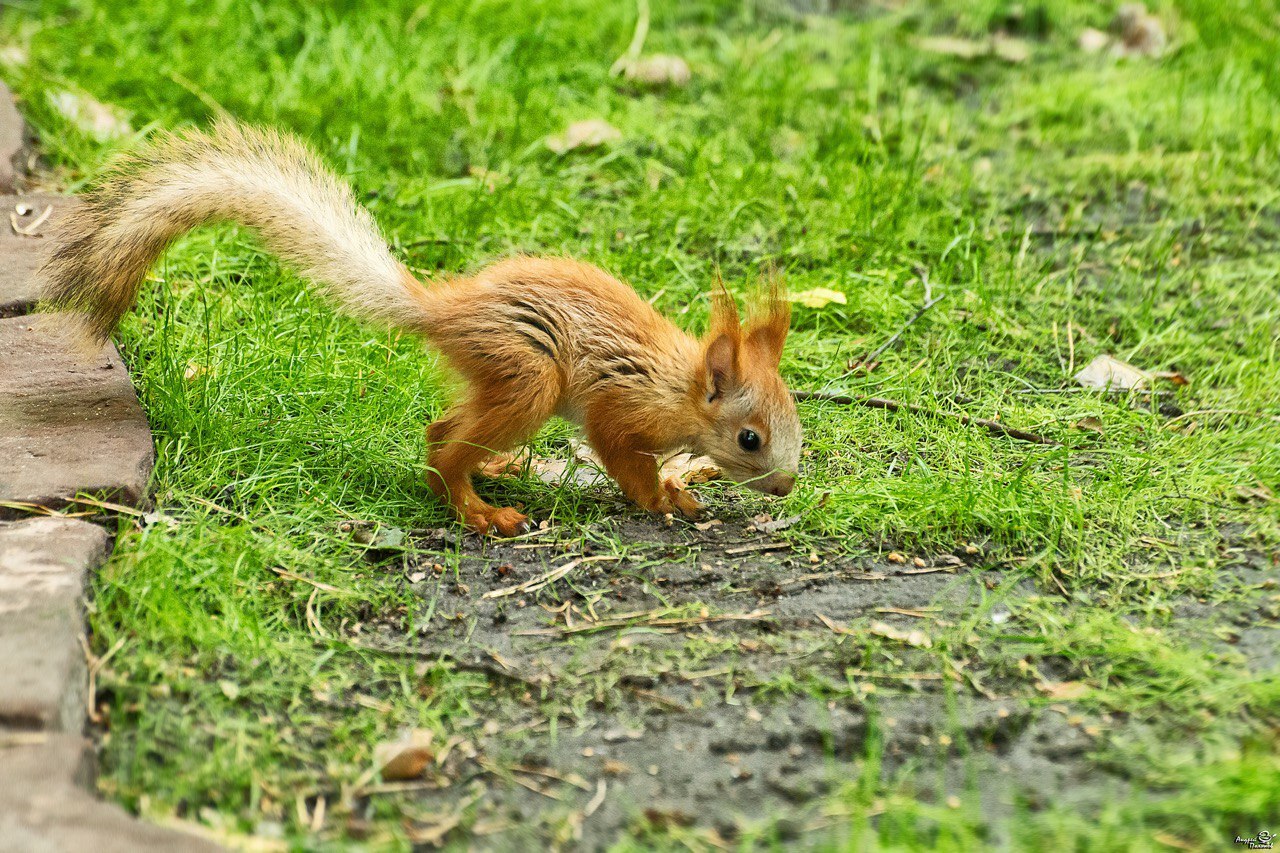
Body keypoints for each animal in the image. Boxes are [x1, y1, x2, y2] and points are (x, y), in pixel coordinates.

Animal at [42, 119, 798, 532]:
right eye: (750, 438)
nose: (789, 486)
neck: (680, 387)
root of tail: (443, 309)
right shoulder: (621, 409)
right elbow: (623, 458)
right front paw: (663, 498)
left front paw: (682, 489)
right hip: (530, 376)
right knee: (442, 448)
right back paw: (479, 511)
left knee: (445, 432)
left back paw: (489, 473)